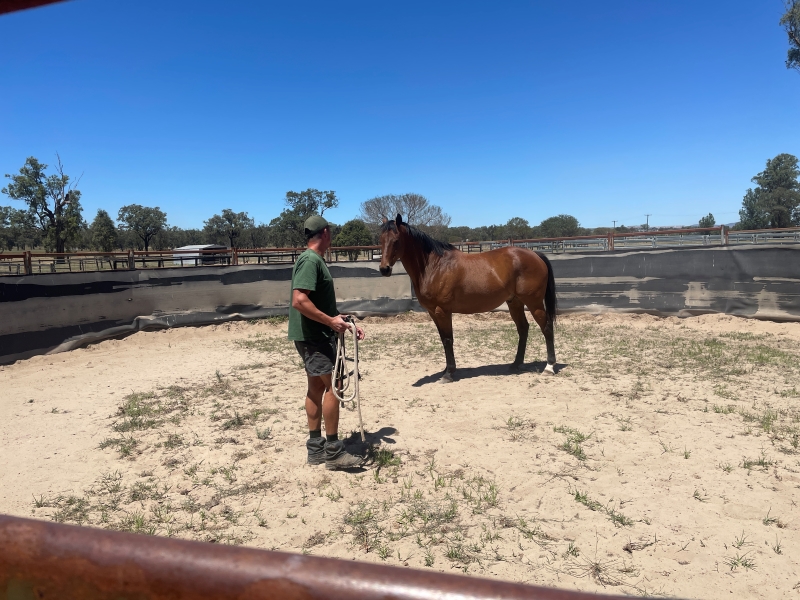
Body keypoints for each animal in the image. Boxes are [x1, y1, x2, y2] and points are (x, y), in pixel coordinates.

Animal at [379, 214, 558, 383]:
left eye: (396, 241)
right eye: (381, 240)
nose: (384, 269)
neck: (434, 266)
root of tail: (535, 254)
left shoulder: (442, 311)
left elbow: (448, 339)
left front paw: (449, 374)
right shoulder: (432, 312)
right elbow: (443, 339)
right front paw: (446, 370)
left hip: (534, 303)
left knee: (547, 328)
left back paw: (549, 367)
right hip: (515, 302)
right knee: (523, 329)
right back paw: (515, 364)